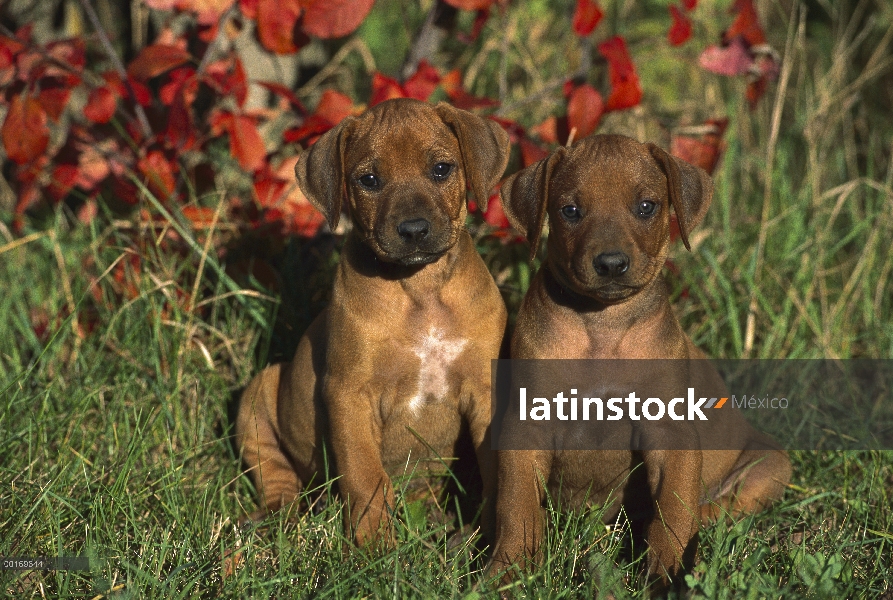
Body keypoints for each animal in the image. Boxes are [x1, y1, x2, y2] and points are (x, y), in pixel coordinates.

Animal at [235, 97, 508, 548]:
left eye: (441, 169)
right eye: (369, 180)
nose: (413, 230)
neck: (421, 289)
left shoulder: (486, 391)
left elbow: (496, 470)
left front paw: (487, 533)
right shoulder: (350, 394)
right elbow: (365, 477)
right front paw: (375, 547)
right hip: (260, 391)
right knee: (276, 476)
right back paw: (277, 520)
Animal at [492, 135, 792, 592]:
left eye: (646, 207)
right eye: (570, 211)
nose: (611, 264)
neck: (603, 325)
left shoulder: (672, 433)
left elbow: (674, 511)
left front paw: (669, 572)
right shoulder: (526, 426)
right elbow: (517, 506)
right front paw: (508, 571)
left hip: (771, 464)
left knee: (717, 508)